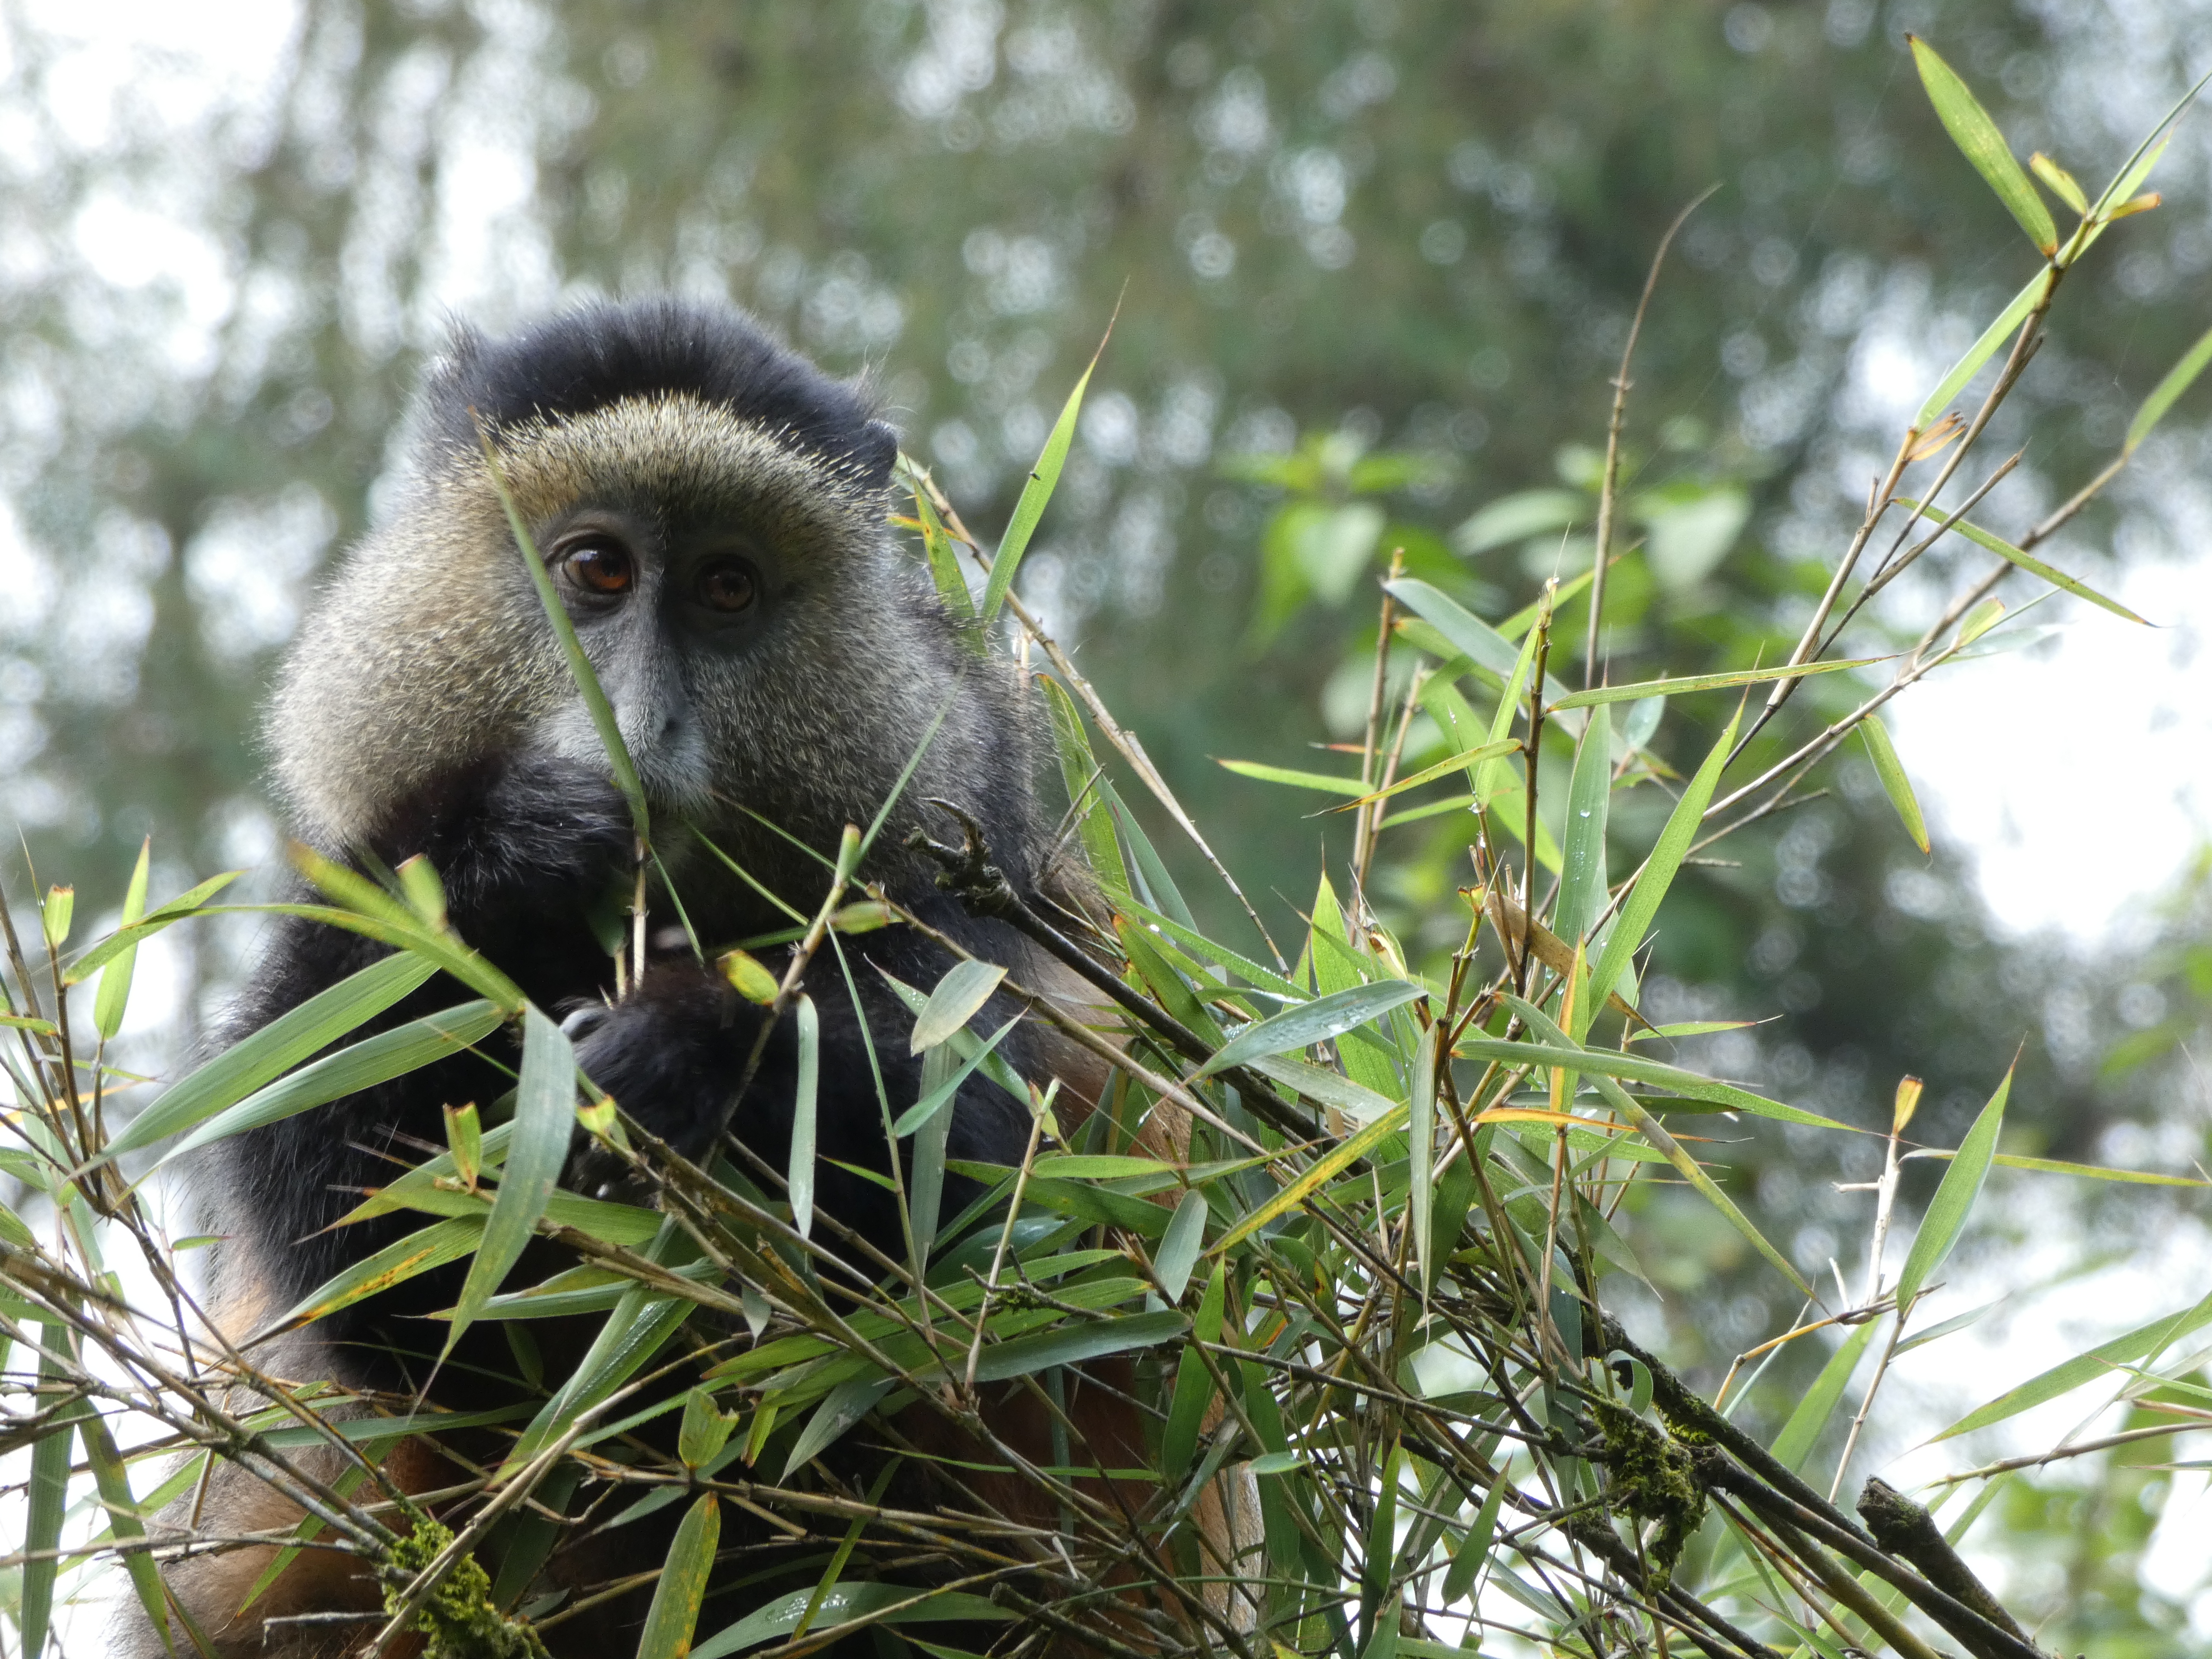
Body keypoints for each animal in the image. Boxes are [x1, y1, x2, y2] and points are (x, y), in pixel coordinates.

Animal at [120, 298, 1154, 1658]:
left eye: (726, 587)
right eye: (598, 571)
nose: (641, 726)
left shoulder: (954, 887)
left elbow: (971, 1187)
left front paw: (690, 1060)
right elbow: (395, 1289)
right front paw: (503, 850)